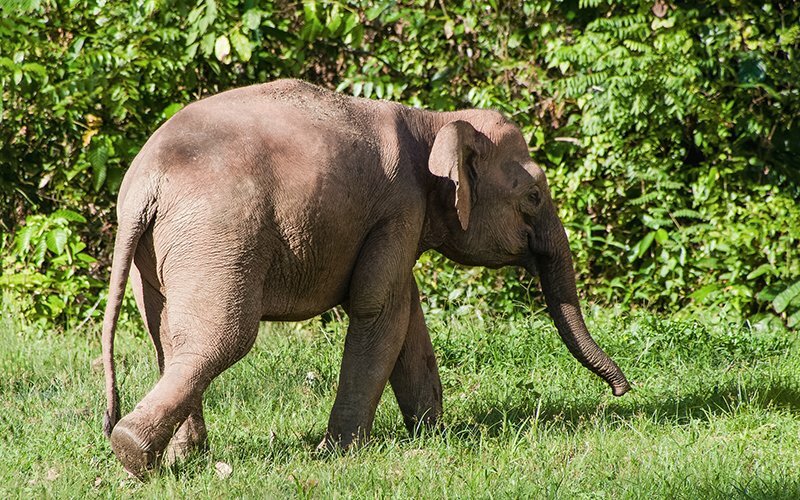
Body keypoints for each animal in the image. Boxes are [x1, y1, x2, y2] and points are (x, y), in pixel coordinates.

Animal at [100, 78, 628, 476]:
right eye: (534, 196)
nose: (623, 392)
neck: (432, 121)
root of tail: (146, 182)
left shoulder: (400, 218)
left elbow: (407, 316)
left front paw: (434, 437)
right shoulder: (399, 207)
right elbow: (380, 310)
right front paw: (338, 454)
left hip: (164, 249)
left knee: (166, 335)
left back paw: (182, 458)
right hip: (218, 232)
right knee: (220, 337)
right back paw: (133, 452)